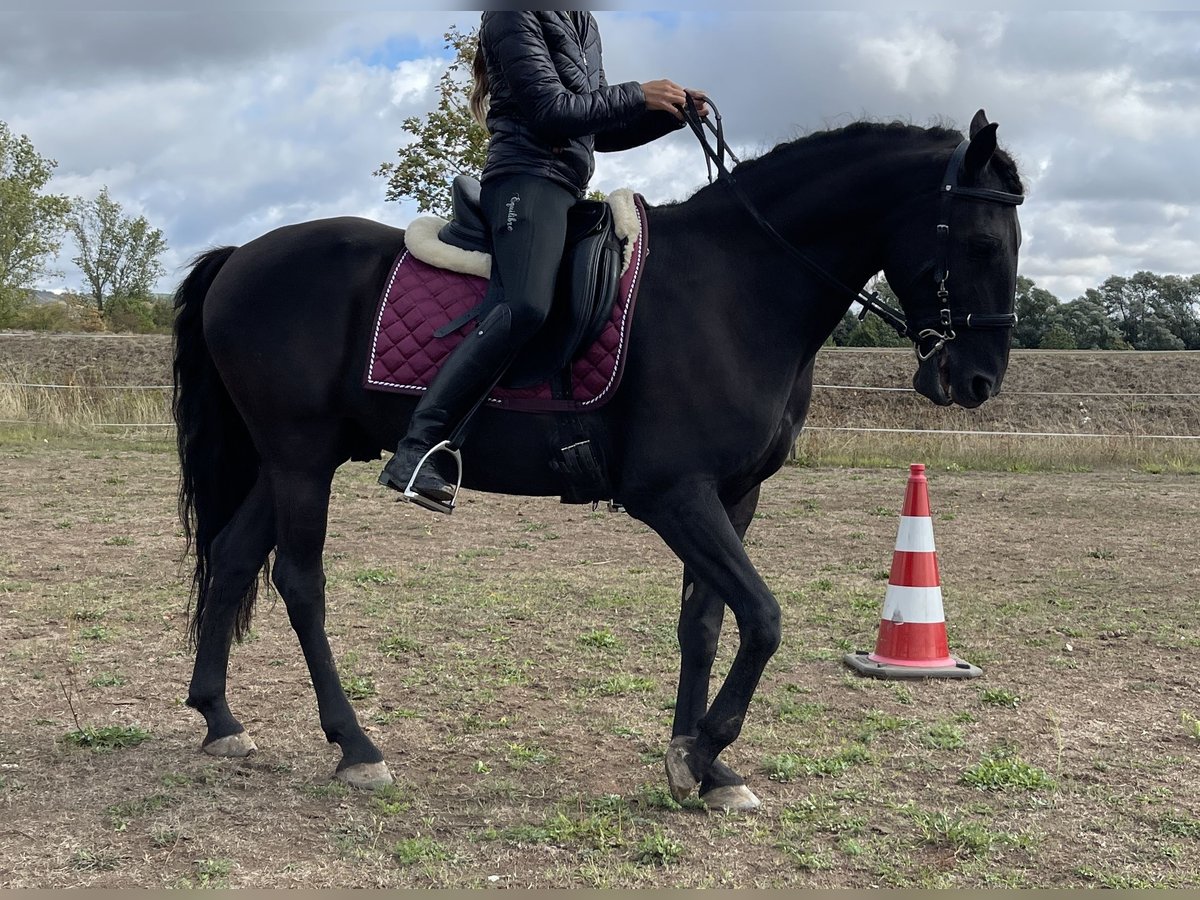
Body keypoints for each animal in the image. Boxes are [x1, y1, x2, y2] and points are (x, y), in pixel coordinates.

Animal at [174, 109, 1027, 816]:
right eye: (981, 242)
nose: (979, 381)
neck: (738, 287)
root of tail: (243, 255)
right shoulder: (672, 494)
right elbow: (763, 618)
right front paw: (702, 753)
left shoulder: (731, 497)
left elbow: (704, 625)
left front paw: (706, 769)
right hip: (301, 459)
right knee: (299, 582)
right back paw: (356, 747)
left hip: (292, 460)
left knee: (235, 556)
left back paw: (220, 718)